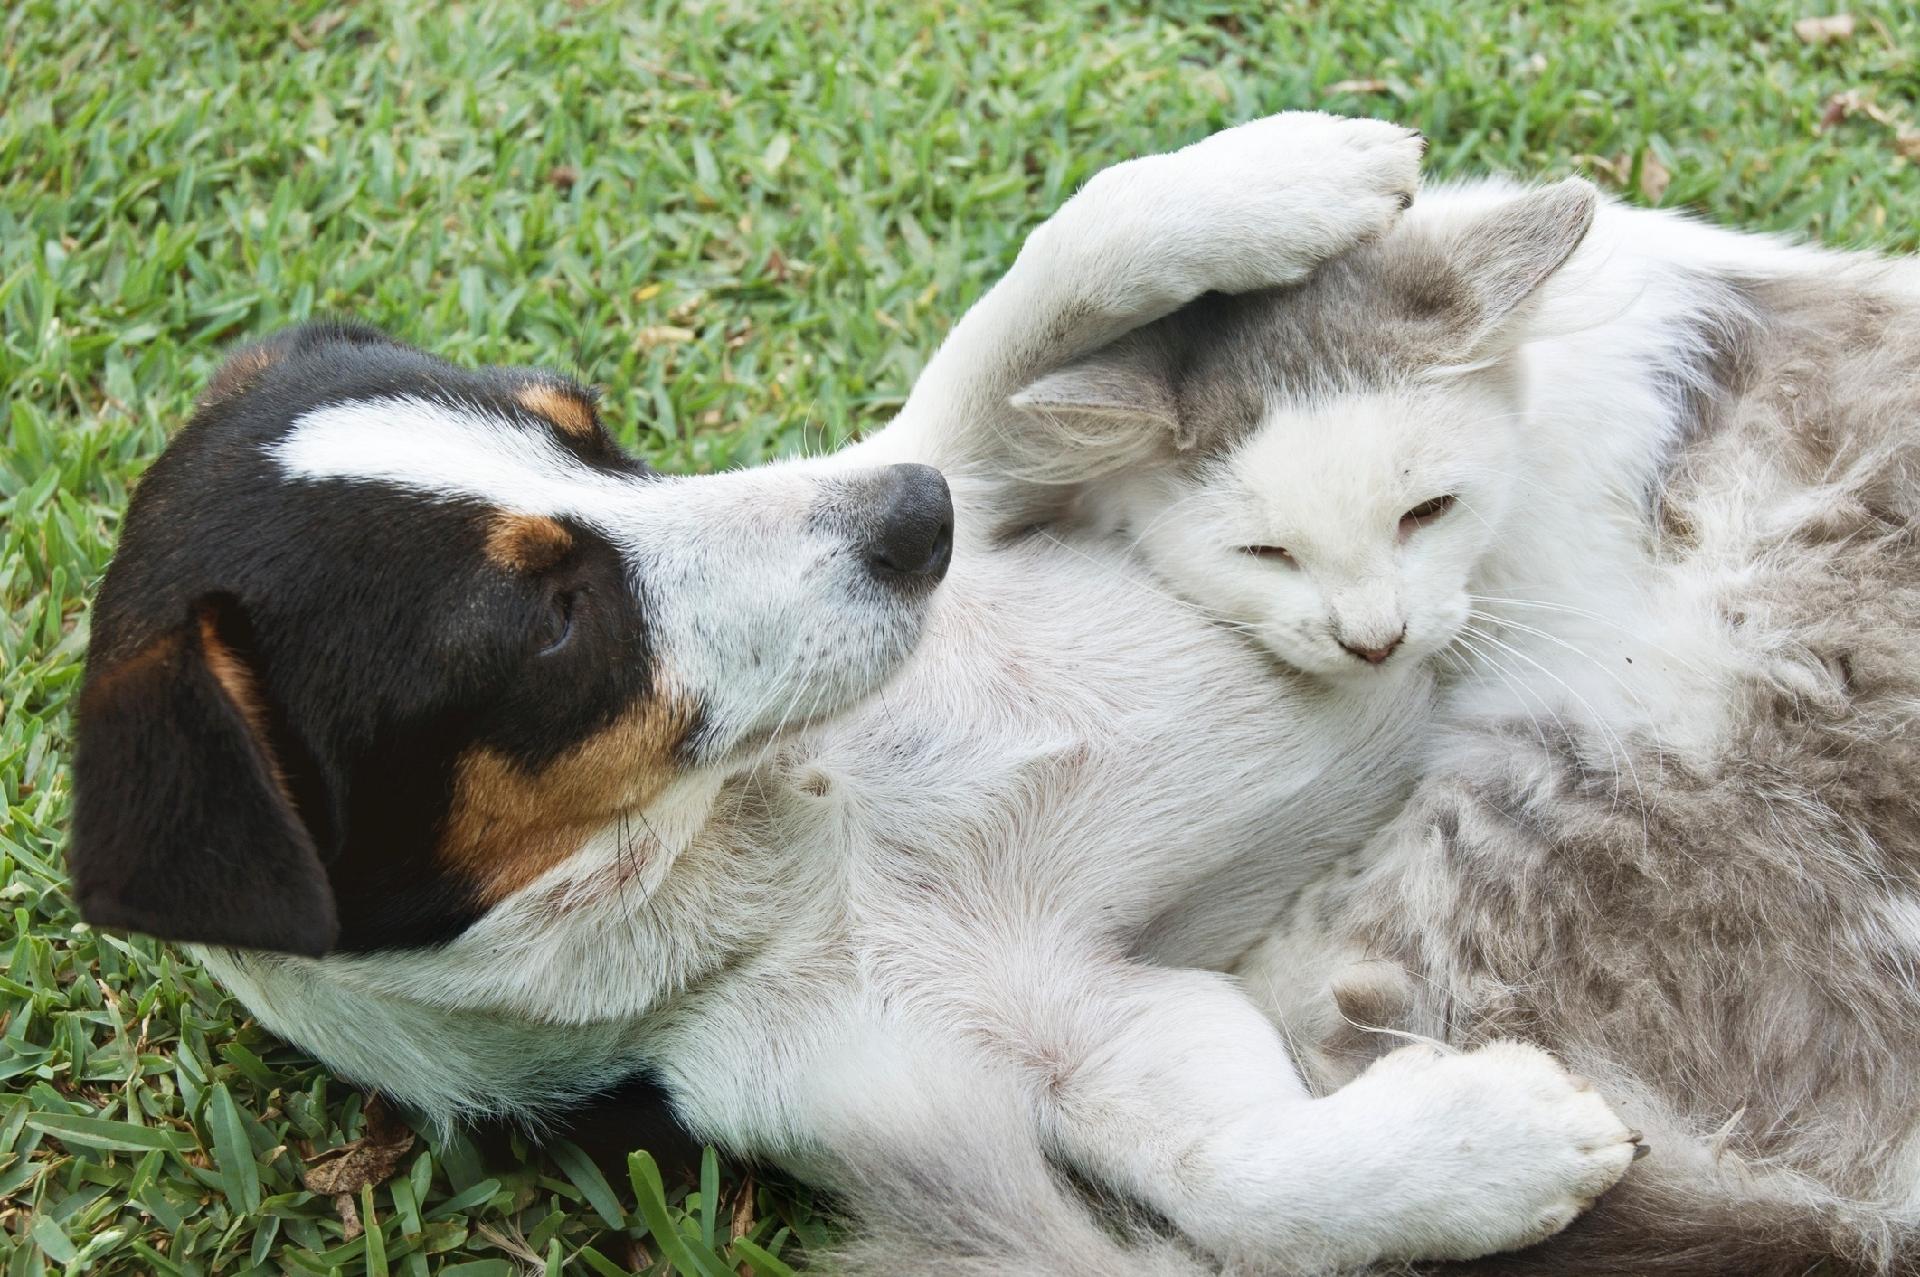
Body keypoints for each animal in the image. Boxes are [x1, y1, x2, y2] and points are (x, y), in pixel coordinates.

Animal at [71, 114, 1635, 1267]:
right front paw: (1486, 1151)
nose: (913, 517)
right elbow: (1243, 1182)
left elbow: (1043, 284)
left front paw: (1273, 172)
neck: (796, 828)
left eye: (590, 427)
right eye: (551, 619)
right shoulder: (1062, 1041)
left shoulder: (979, 471)